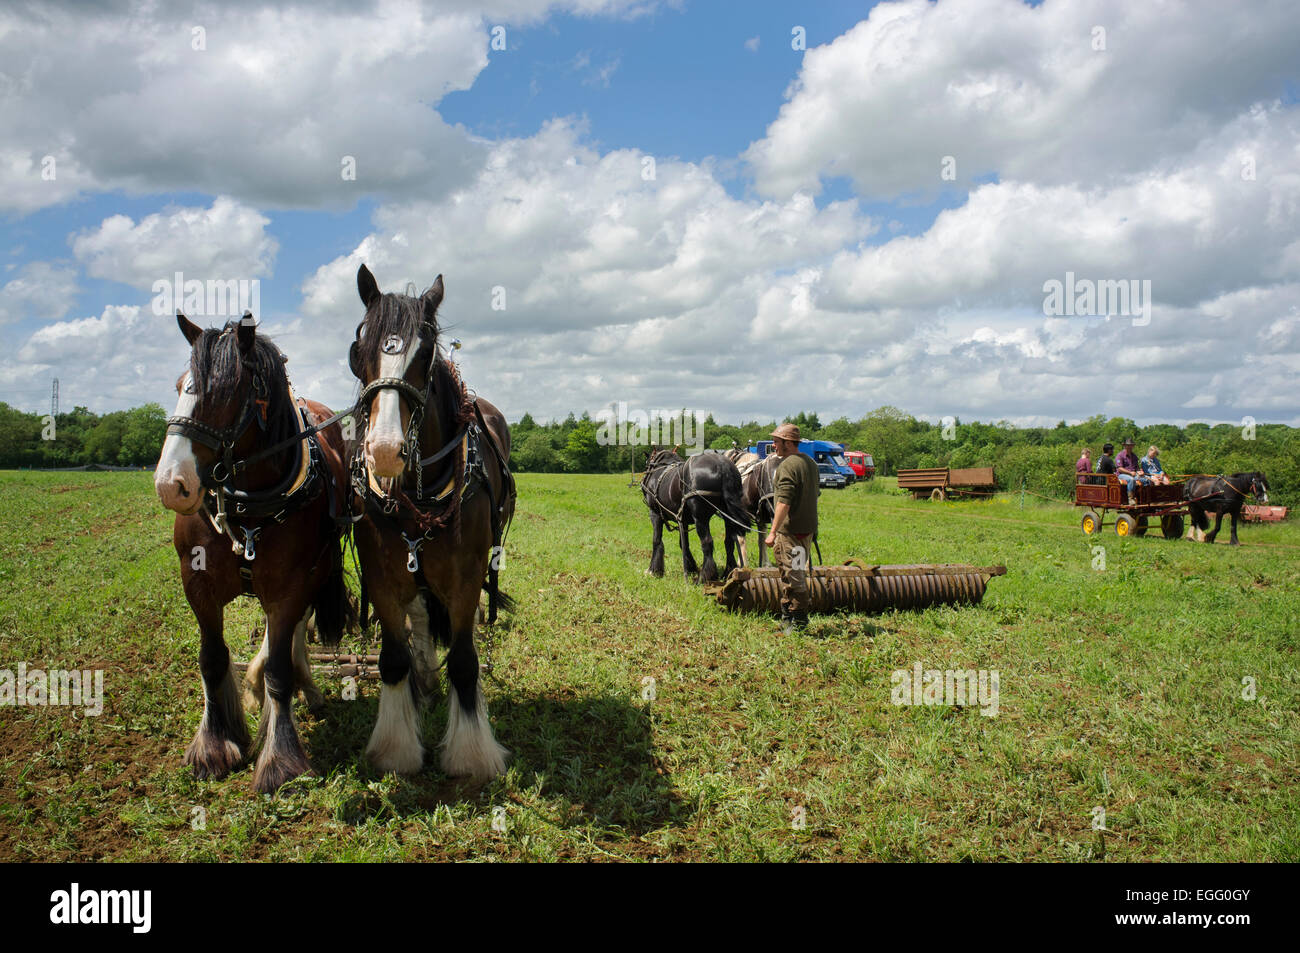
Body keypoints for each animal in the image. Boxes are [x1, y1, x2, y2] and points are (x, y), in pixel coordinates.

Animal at [154, 313, 354, 793]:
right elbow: (212, 660)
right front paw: (214, 743)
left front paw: (280, 760)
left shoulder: (291, 585)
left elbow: (279, 666)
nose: (171, 483)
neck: (247, 504)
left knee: (295, 633)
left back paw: (306, 689)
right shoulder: (196, 584)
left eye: (224, 393)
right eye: (180, 385)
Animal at [349, 265, 517, 782]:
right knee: (420, 619)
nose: (385, 450)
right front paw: (395, 748)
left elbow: (464, 662)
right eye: (358, 351)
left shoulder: (464, 580)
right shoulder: (383, 579)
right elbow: (393, 658)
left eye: (424, 354)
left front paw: (471, 754)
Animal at [641, 447, 750, 582]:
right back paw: (727, 572)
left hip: (700, 518)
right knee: (729, 541)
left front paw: (654, 570)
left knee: (707, 542)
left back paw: (704, 576)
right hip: (727, 515)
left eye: (647, 464)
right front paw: (691, 567)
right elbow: (683, 544)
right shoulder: (682, 520)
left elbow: (656, 540)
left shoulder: (655, 514)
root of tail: (723, 465)